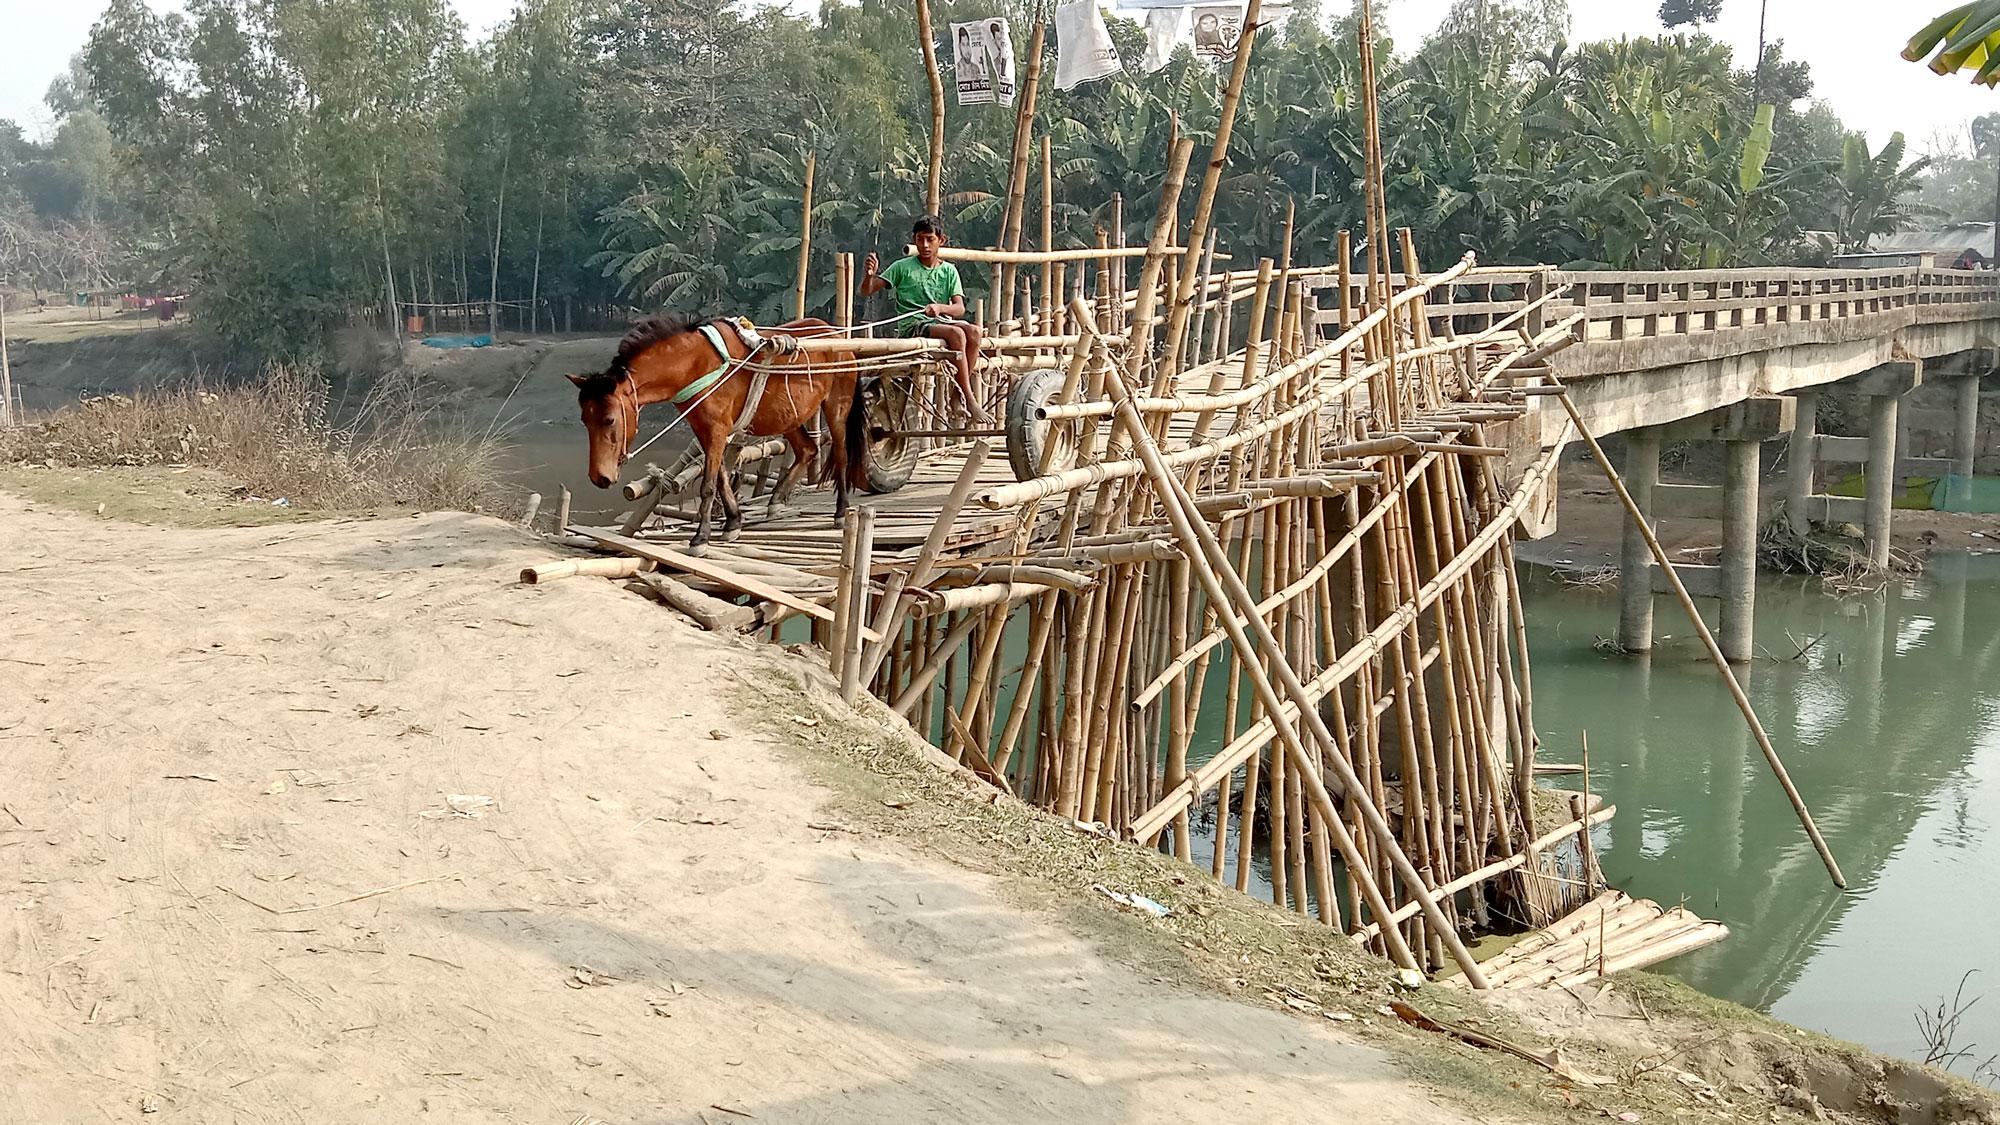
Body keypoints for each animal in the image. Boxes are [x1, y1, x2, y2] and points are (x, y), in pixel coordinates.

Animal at [572, 316, 868, 548]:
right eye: (584, 420)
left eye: (609, 419)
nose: (599, 477)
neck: (697, 364)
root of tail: (837, 335)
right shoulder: (706, 429)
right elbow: (721, 477)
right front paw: (733, 523)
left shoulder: (716, 429)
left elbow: (708, 485)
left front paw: (700, 538)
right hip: (790, 416)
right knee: (808, 449)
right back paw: (776, 500)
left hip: (837, 406)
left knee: (841, 455)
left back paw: (840, 511)